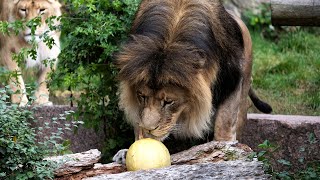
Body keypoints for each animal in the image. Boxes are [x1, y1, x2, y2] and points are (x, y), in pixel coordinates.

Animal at [114, 0, 272, 163]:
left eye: (168, 102)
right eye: (142, 96)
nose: (149, 129)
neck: (170, 35)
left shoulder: (232, 81)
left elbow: (224, 122)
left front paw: (227, 150)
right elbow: (139, 123)